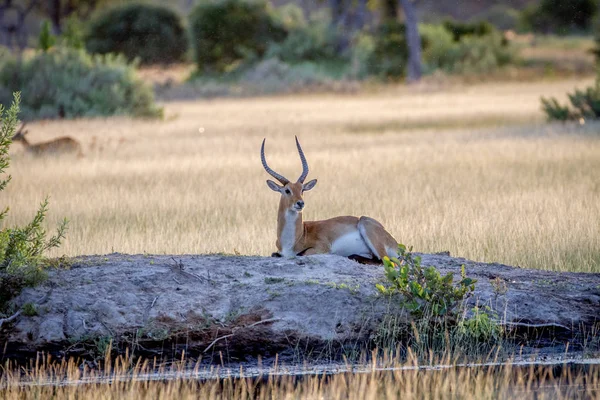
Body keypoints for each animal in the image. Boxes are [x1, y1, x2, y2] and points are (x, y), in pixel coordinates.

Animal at [258, 137, 396, 262]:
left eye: (302, 190)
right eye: (287, 190)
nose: (300, 203)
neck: (296, 237)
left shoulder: (322, 248)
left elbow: (301, 254)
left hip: (366, 226)